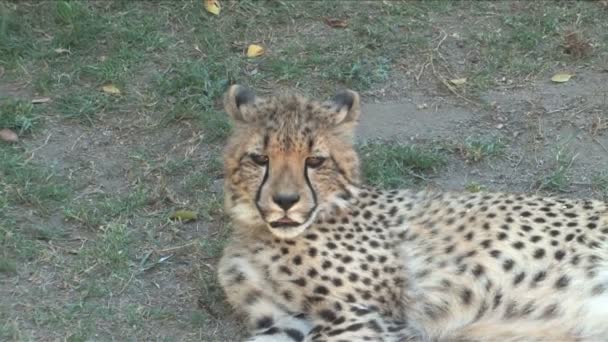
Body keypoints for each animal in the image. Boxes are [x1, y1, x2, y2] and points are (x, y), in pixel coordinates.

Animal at [217, 85, 608, 342]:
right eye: (260, 159)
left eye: (315, 161)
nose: (285, 201)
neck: (258, 231)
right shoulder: (288, 320)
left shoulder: (362, 315)